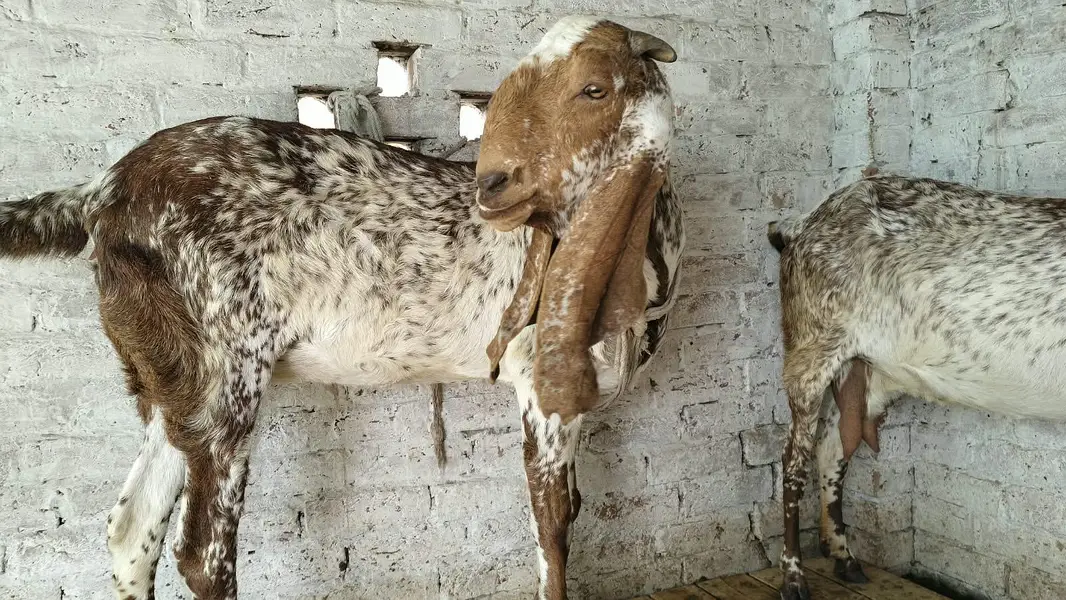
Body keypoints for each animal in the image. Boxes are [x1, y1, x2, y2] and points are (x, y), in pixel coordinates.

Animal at [0, 16, 683, 600]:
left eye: (594, 88)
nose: (493, 187)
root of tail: (102, 194)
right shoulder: (538, 380)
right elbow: (554, 523)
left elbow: (570, 507)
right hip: (227, 366)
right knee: (202, 553)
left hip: (172, 375)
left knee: (131, 526)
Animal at [767, 173, 1066, 600]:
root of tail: (799, 224)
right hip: (810, 350)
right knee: (793, 461)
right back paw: (793, 577)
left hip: (870, 371)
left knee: (832, 449)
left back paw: (845, 557)